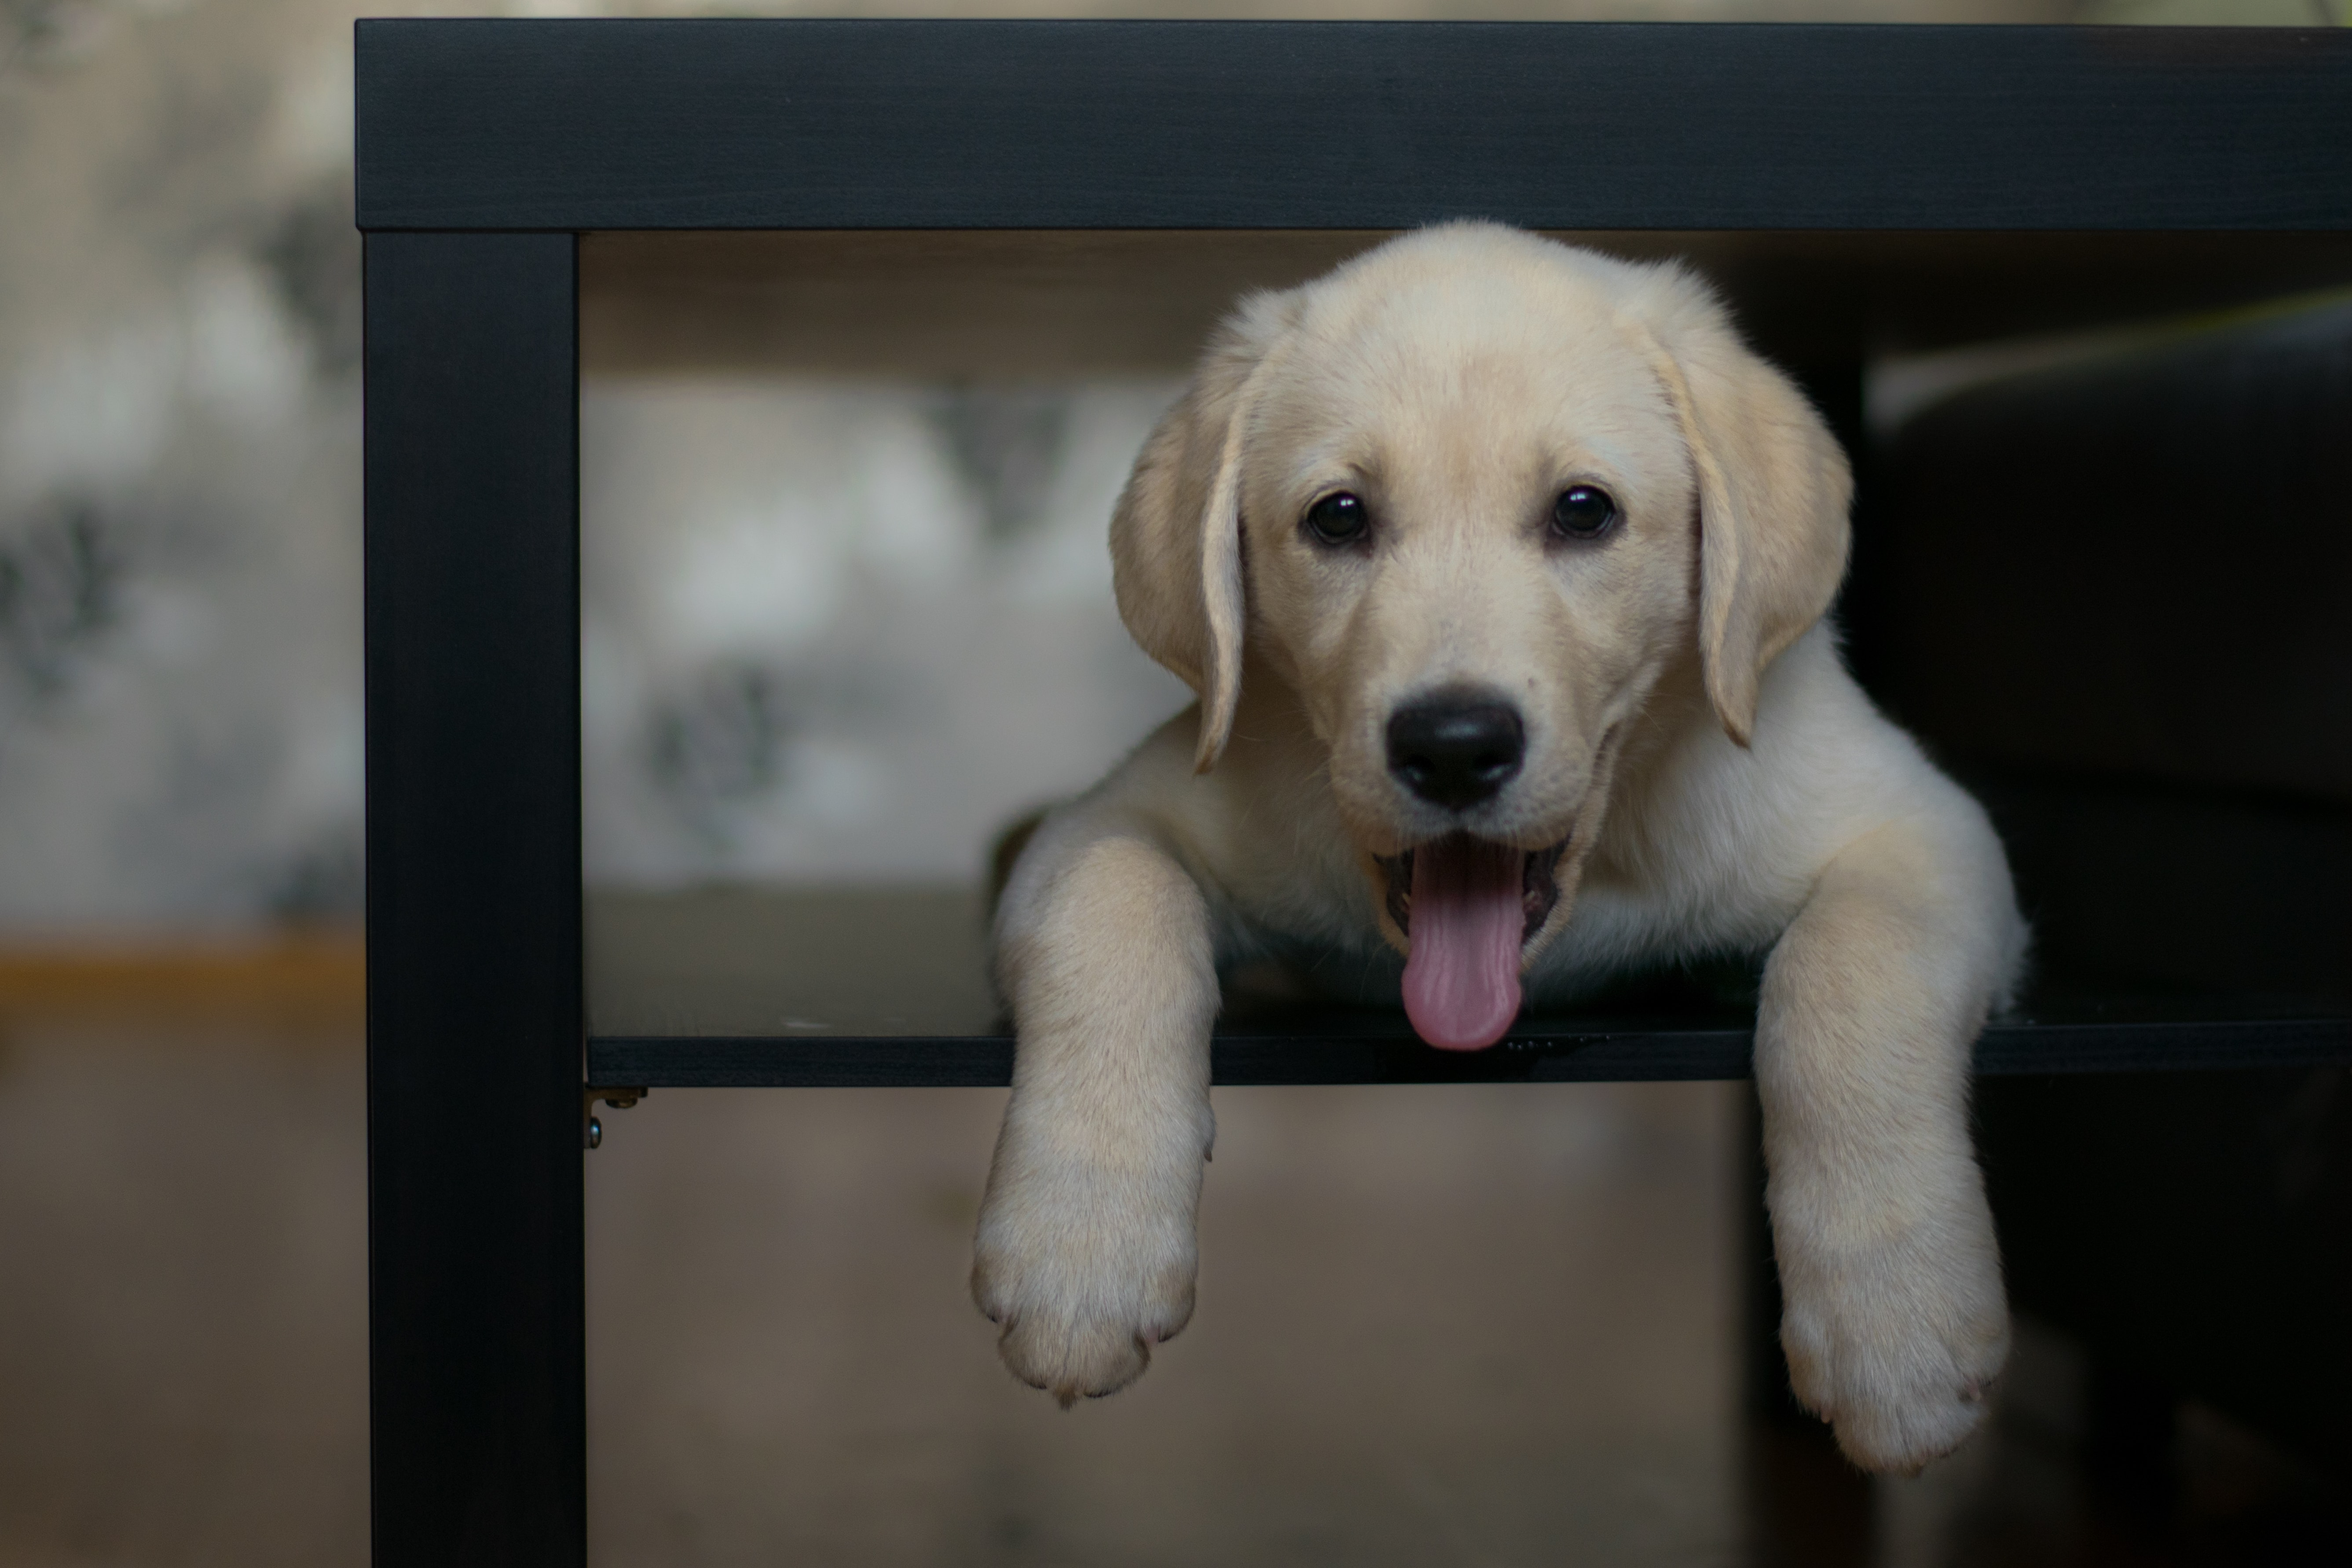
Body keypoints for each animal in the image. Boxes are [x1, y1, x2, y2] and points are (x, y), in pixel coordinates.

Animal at [969, 227, 2022, 1476]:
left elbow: (1850, 977)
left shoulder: (1923, 829)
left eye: (1583, 511)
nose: (1455, 746)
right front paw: (1082, 1250)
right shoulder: (1120, 815)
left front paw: (1895, 1322)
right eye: (1337, 518)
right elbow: (1111, 904)